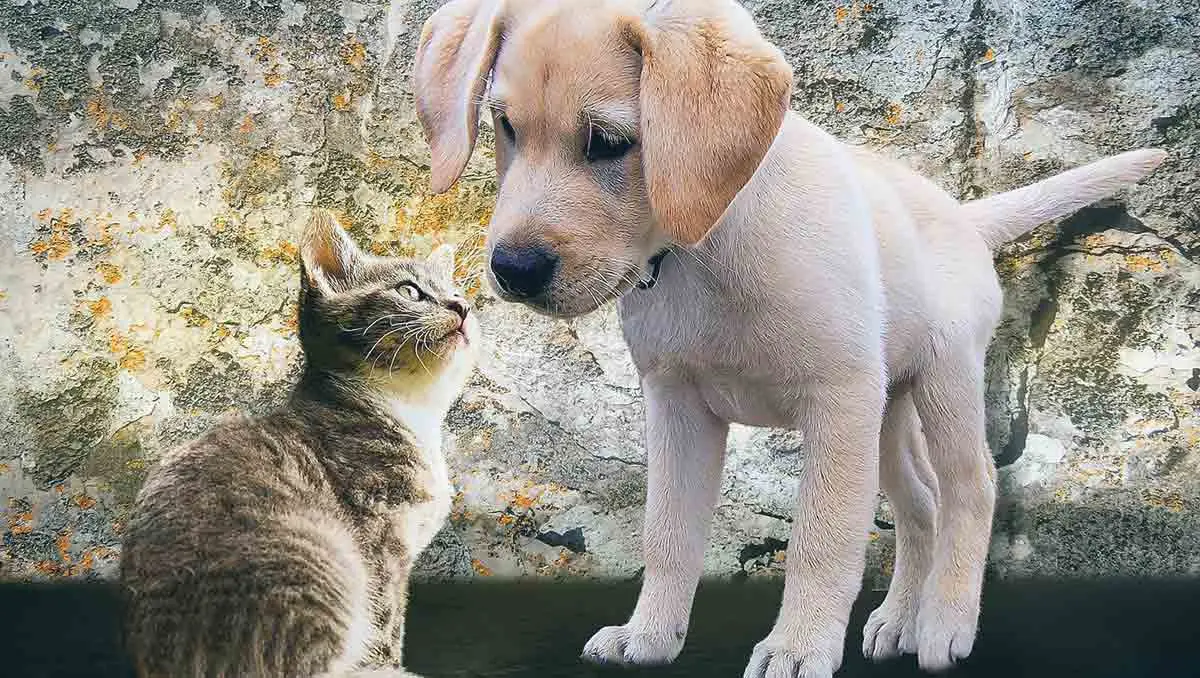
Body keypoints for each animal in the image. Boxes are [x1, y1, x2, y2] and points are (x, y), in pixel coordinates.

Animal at [119, 211, 477, 676]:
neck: (411, 413)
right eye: (409, 291)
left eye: (458, 293)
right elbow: (385, 624)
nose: (462, 306)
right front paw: (387, 664)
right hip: (318, 562)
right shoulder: (380, 539)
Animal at [410, 0, 1161, 672]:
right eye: (504, 125)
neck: (705, 250)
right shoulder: (679, 407)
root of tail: (960, 211)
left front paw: (800, 648)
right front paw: (648, 637)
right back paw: (899, 620)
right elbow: (668, 535)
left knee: (970, 488)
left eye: (608, 142)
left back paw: (946, 623)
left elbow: (821, 542)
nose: (512, 269)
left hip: (942, 382)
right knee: (920, 504)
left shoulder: (836, 400)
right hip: (886, 413)